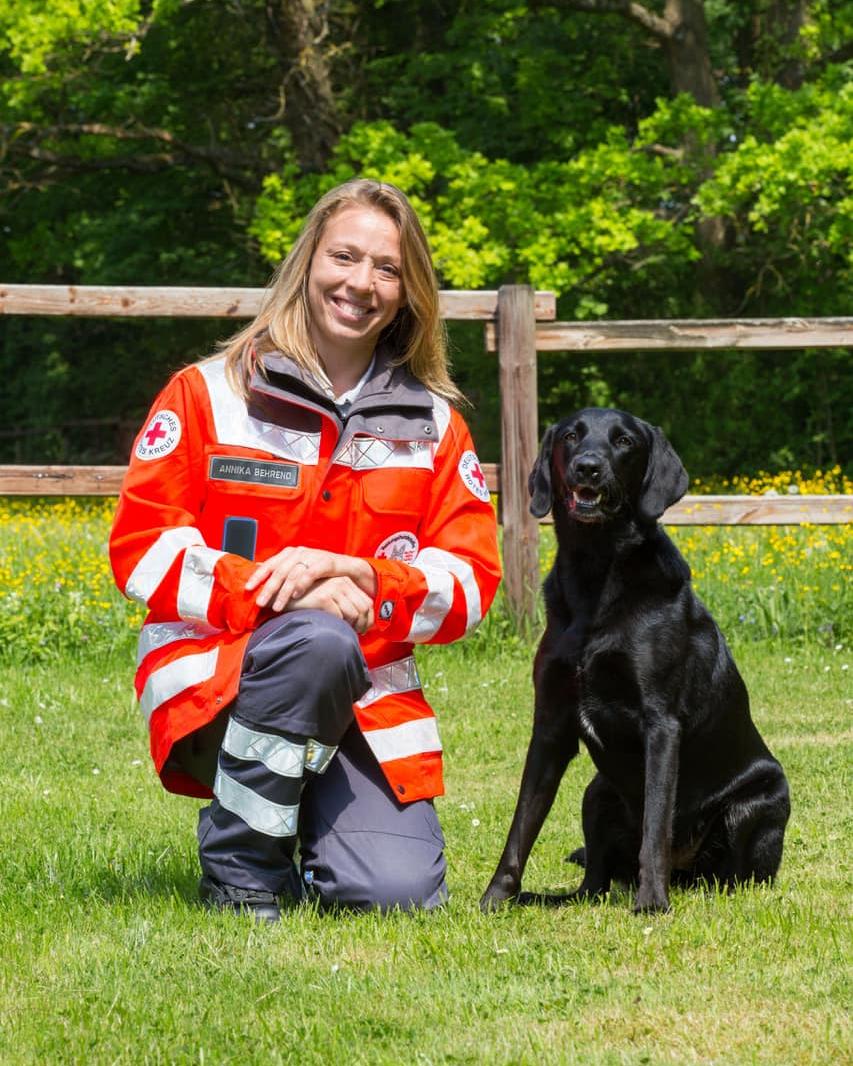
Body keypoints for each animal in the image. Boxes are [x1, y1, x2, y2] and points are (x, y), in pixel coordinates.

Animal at [484, 411, 789, 912]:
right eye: (571, 436)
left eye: (624, 441)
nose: (588, 467)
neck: (595, 572)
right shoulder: (550, 726)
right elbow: (521, 825)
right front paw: (495, 897)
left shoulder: (661, 724)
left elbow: (655, 826)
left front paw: (651, 903)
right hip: (597, 793)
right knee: (592, 885)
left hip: (761, 799)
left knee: (729, 878)